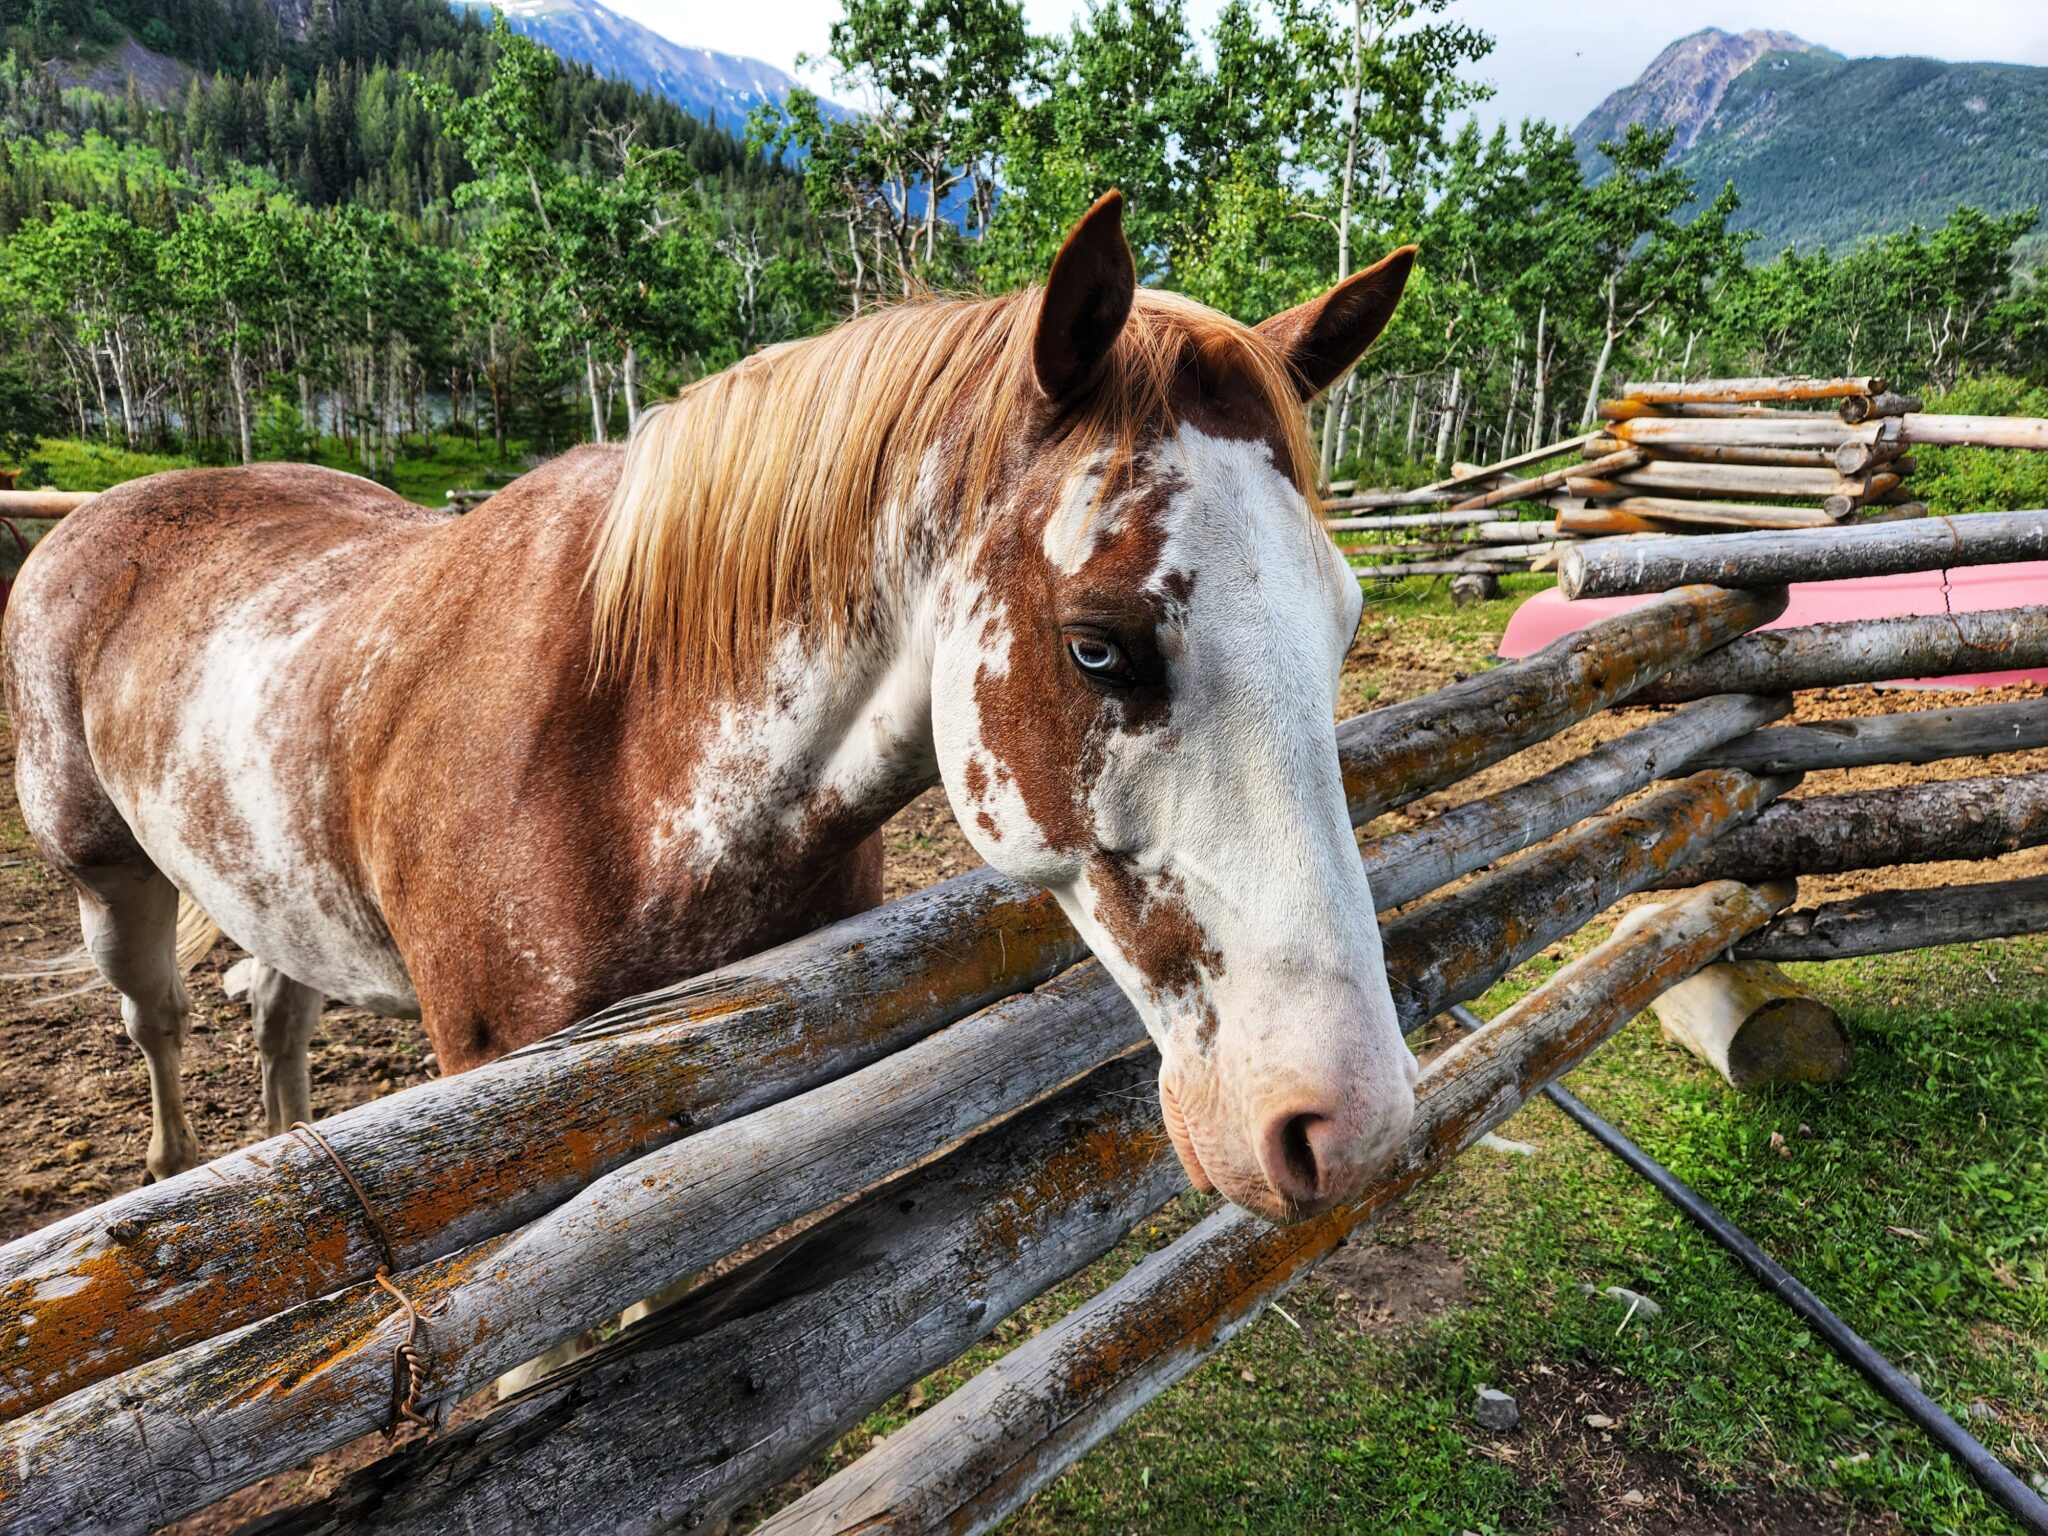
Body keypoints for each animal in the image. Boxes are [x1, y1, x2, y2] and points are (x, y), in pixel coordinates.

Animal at [3, 192, 1418, 1222]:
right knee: (161, 1025)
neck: (623, 756)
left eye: (1341, 626)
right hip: (108, 888)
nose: (1347, 1127)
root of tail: (90, 519)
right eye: (1097, 648)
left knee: (276, 1012)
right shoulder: (510, 1107)